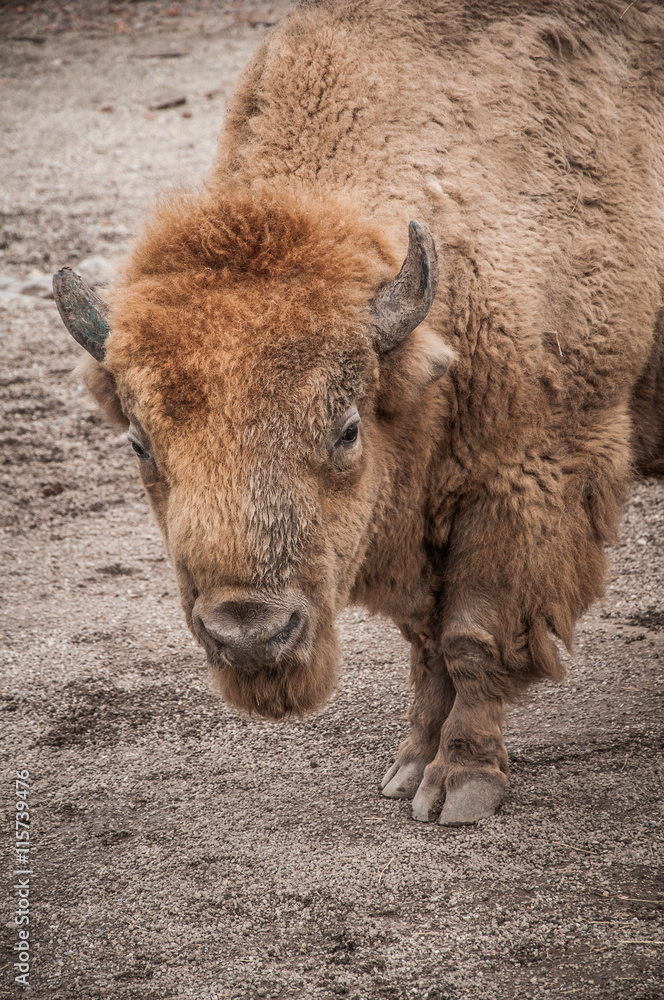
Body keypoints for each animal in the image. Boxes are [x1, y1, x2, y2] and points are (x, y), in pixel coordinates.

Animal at [54, 0, 664, 825]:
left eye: (346, 428)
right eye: (139, 444)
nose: (250, 636)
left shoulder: (525, 481)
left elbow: (472, 637)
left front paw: (461, 785)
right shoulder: (413, 515)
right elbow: (426, 643)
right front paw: (409, 768)